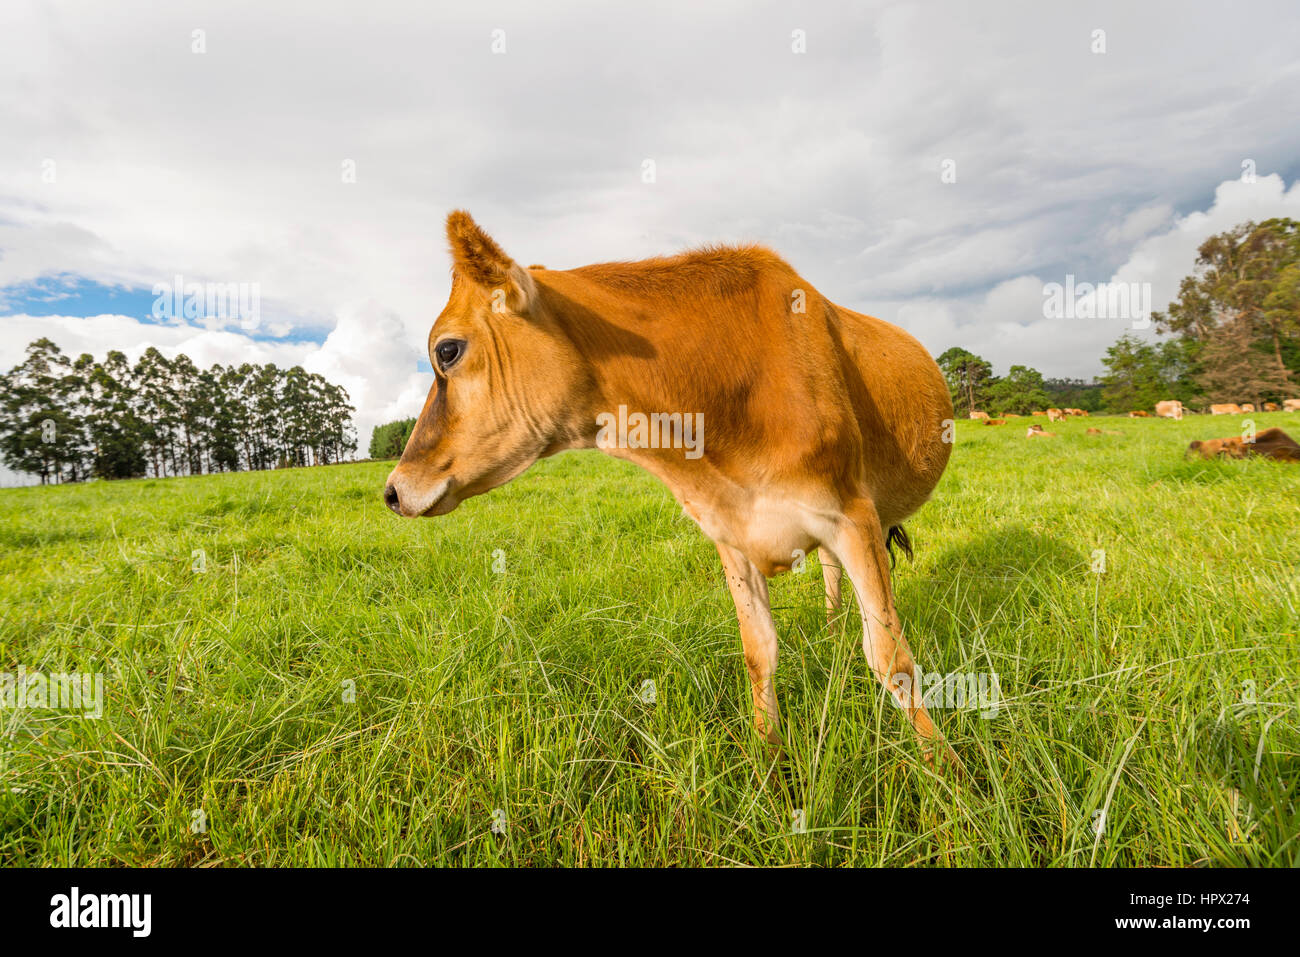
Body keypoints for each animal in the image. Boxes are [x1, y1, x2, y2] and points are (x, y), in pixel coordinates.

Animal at [384, 211, 959, 768]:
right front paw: (767, 762)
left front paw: (944, 771)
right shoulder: (732, 535)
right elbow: (759, 652)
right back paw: (834, 631)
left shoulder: (852, 514)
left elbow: (891, 656)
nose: (391, 490)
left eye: (448, 350)